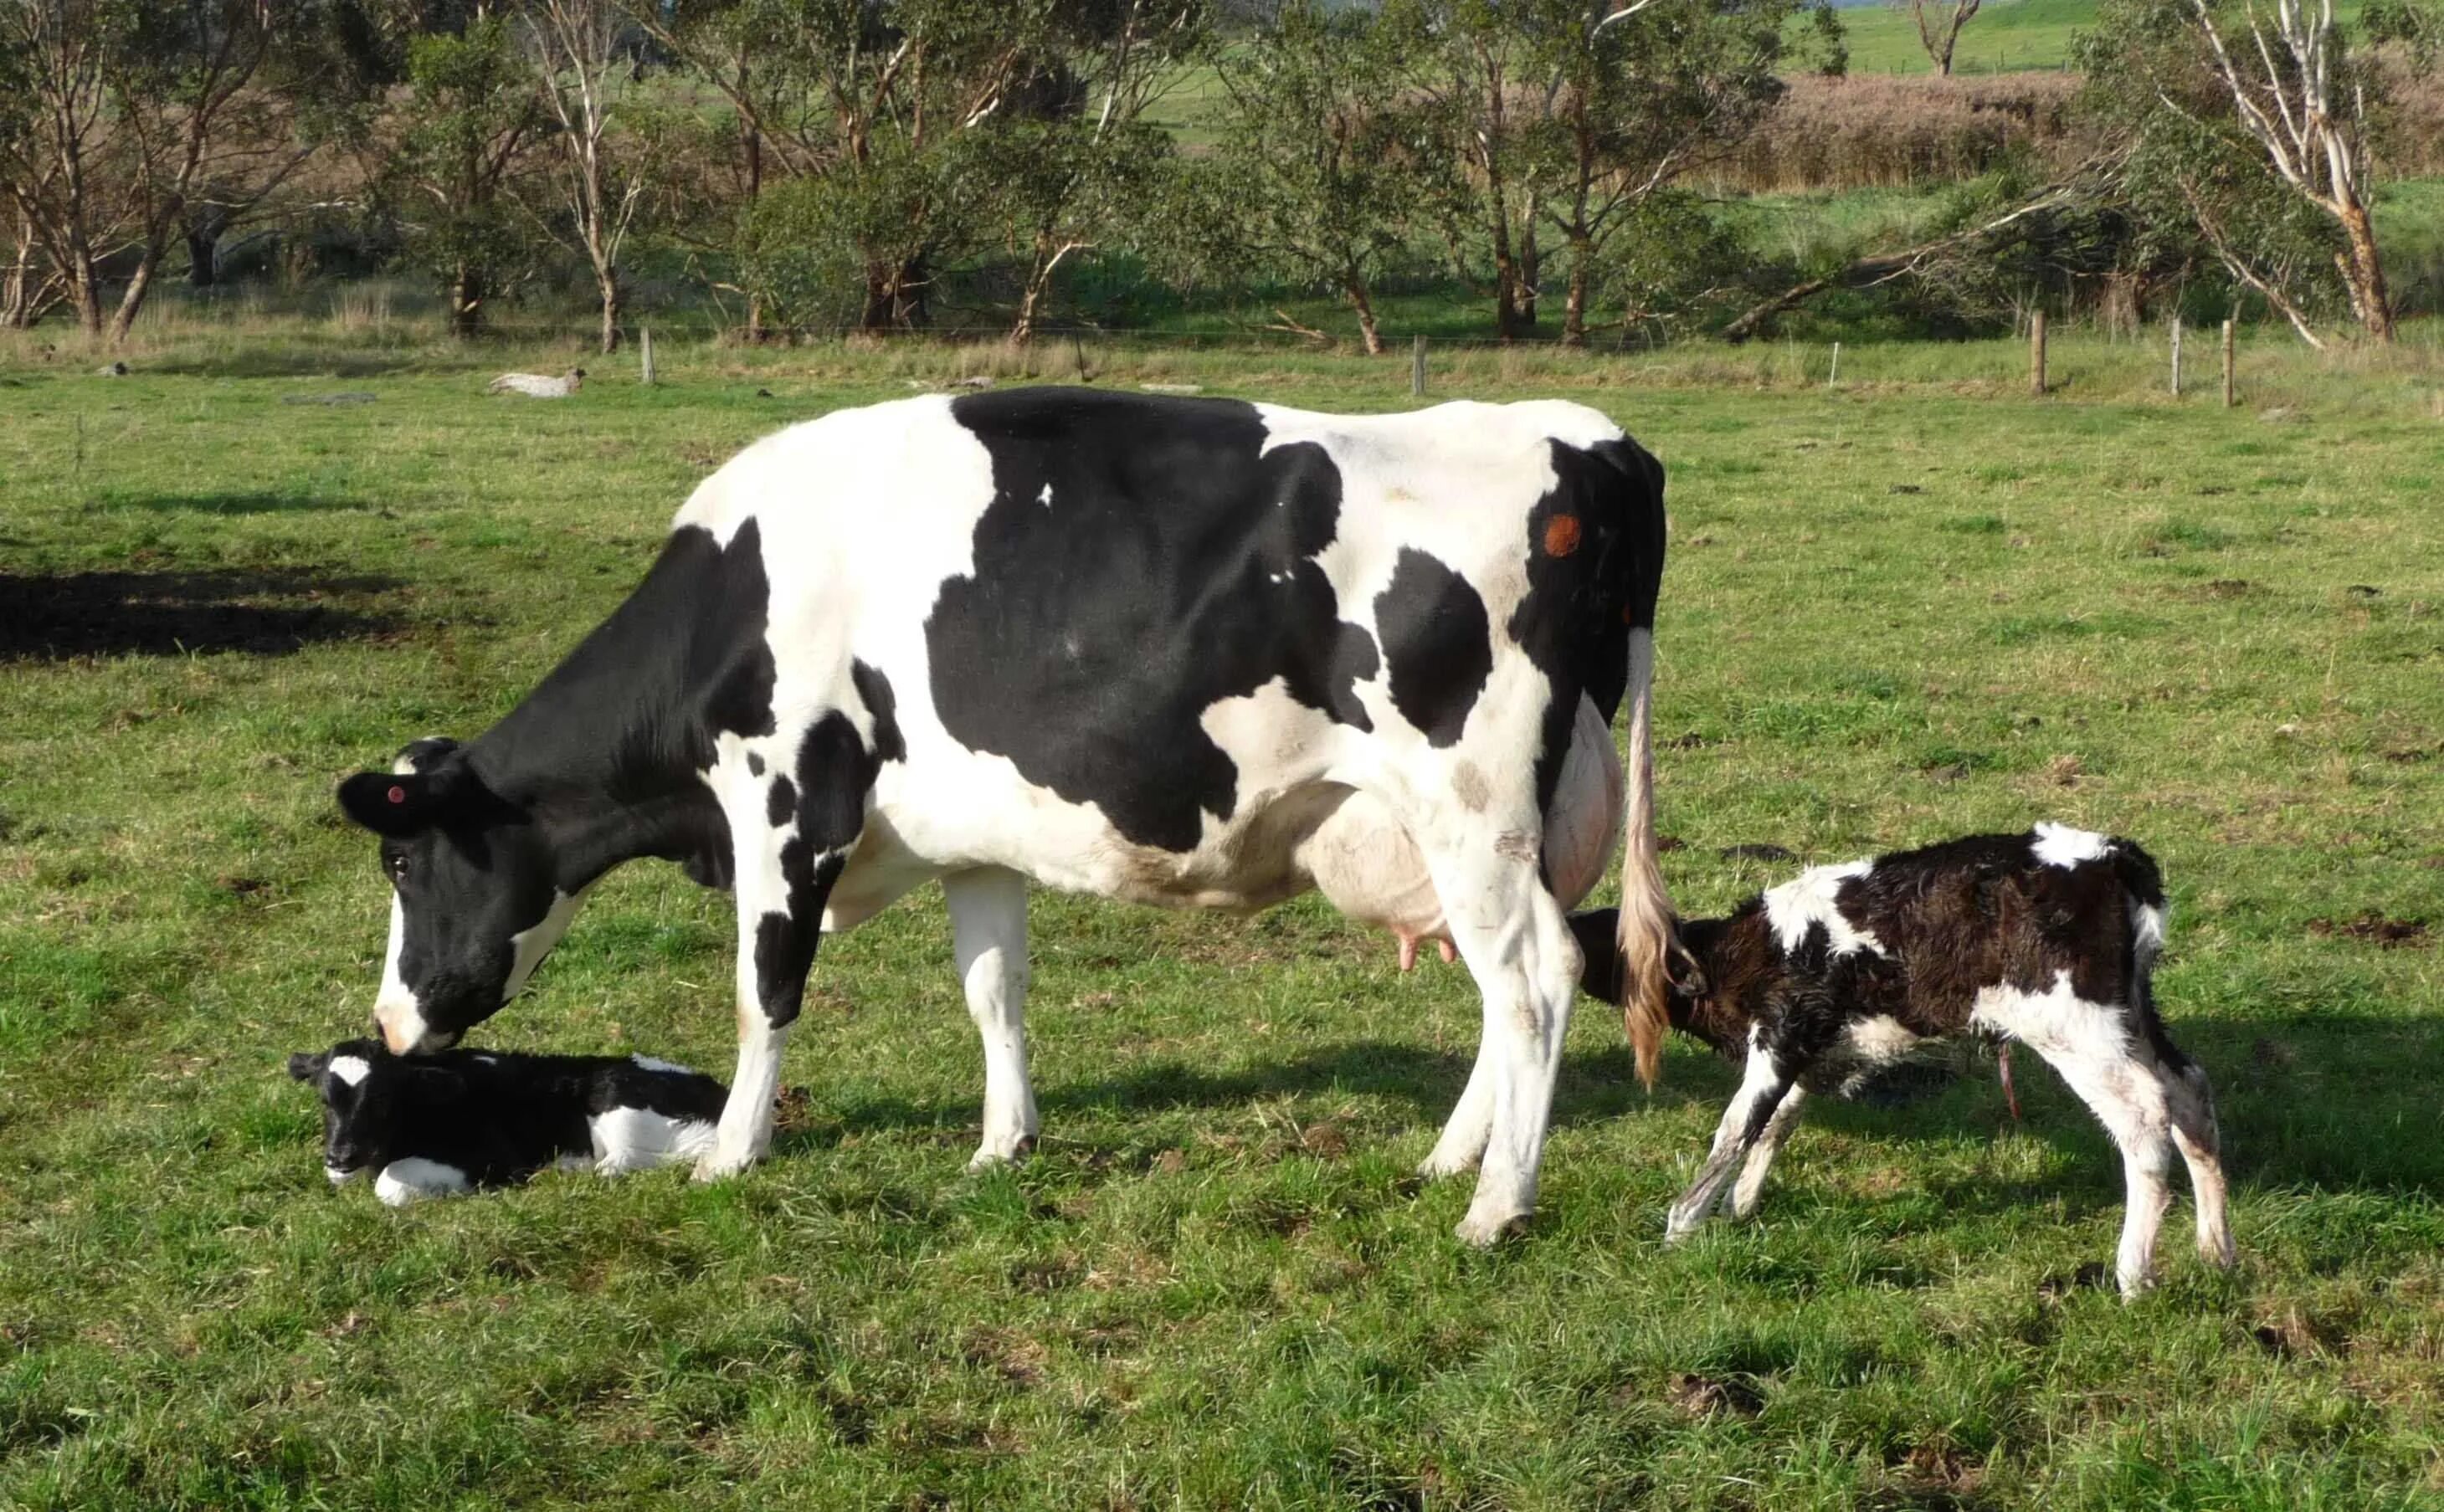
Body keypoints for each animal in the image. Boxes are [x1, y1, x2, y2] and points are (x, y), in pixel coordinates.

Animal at [287, 1040, 723, 1207]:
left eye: (381, 1099)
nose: (340, 1155)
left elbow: (389, 1184)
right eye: (324, 1099)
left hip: (617, 1100)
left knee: (633, 1159)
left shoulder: (492, 1155)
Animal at [335, 388, 1671, 1240]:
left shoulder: (784, 807)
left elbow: (765, 994)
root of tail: (1593, 442)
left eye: (402, 860)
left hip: (1471, 802)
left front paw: (730, 1152)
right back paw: (1452, 1155)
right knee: (1508, 987)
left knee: (1535, 979)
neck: (732, 600)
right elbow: (995, 989)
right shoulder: (972, 837)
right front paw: (1001, 1142)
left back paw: (1495, 1205)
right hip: (1505, 824)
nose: (391, 1020)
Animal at [1563, 820, 2238, 1299]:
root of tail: (2110, 857)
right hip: (2130, 1010)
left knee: (2144, 1117)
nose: (1564, 927)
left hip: (2075, 1026)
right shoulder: (1814, 1048)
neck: (1743, 953)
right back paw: (2217, 1251)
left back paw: (2134, 1276)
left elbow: (1736, 1128)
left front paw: (1681, 1226)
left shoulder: (1779, 1037)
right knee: (2191, 1091)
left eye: (1612, 940)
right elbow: (1776, 1124)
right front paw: (1741, 1208)